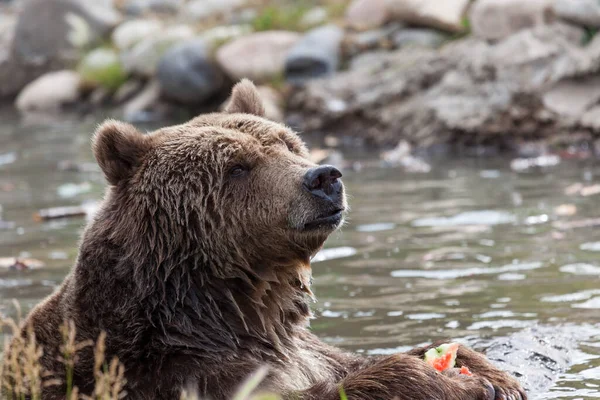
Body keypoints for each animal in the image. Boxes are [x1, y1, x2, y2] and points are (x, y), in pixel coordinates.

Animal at [8, 79, 524, 400]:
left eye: (289, 144)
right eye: (237, 166)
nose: (324, 177)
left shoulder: (303, 350)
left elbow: (349, 362)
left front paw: (490, 374)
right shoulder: (167, 369)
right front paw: (446, 382)